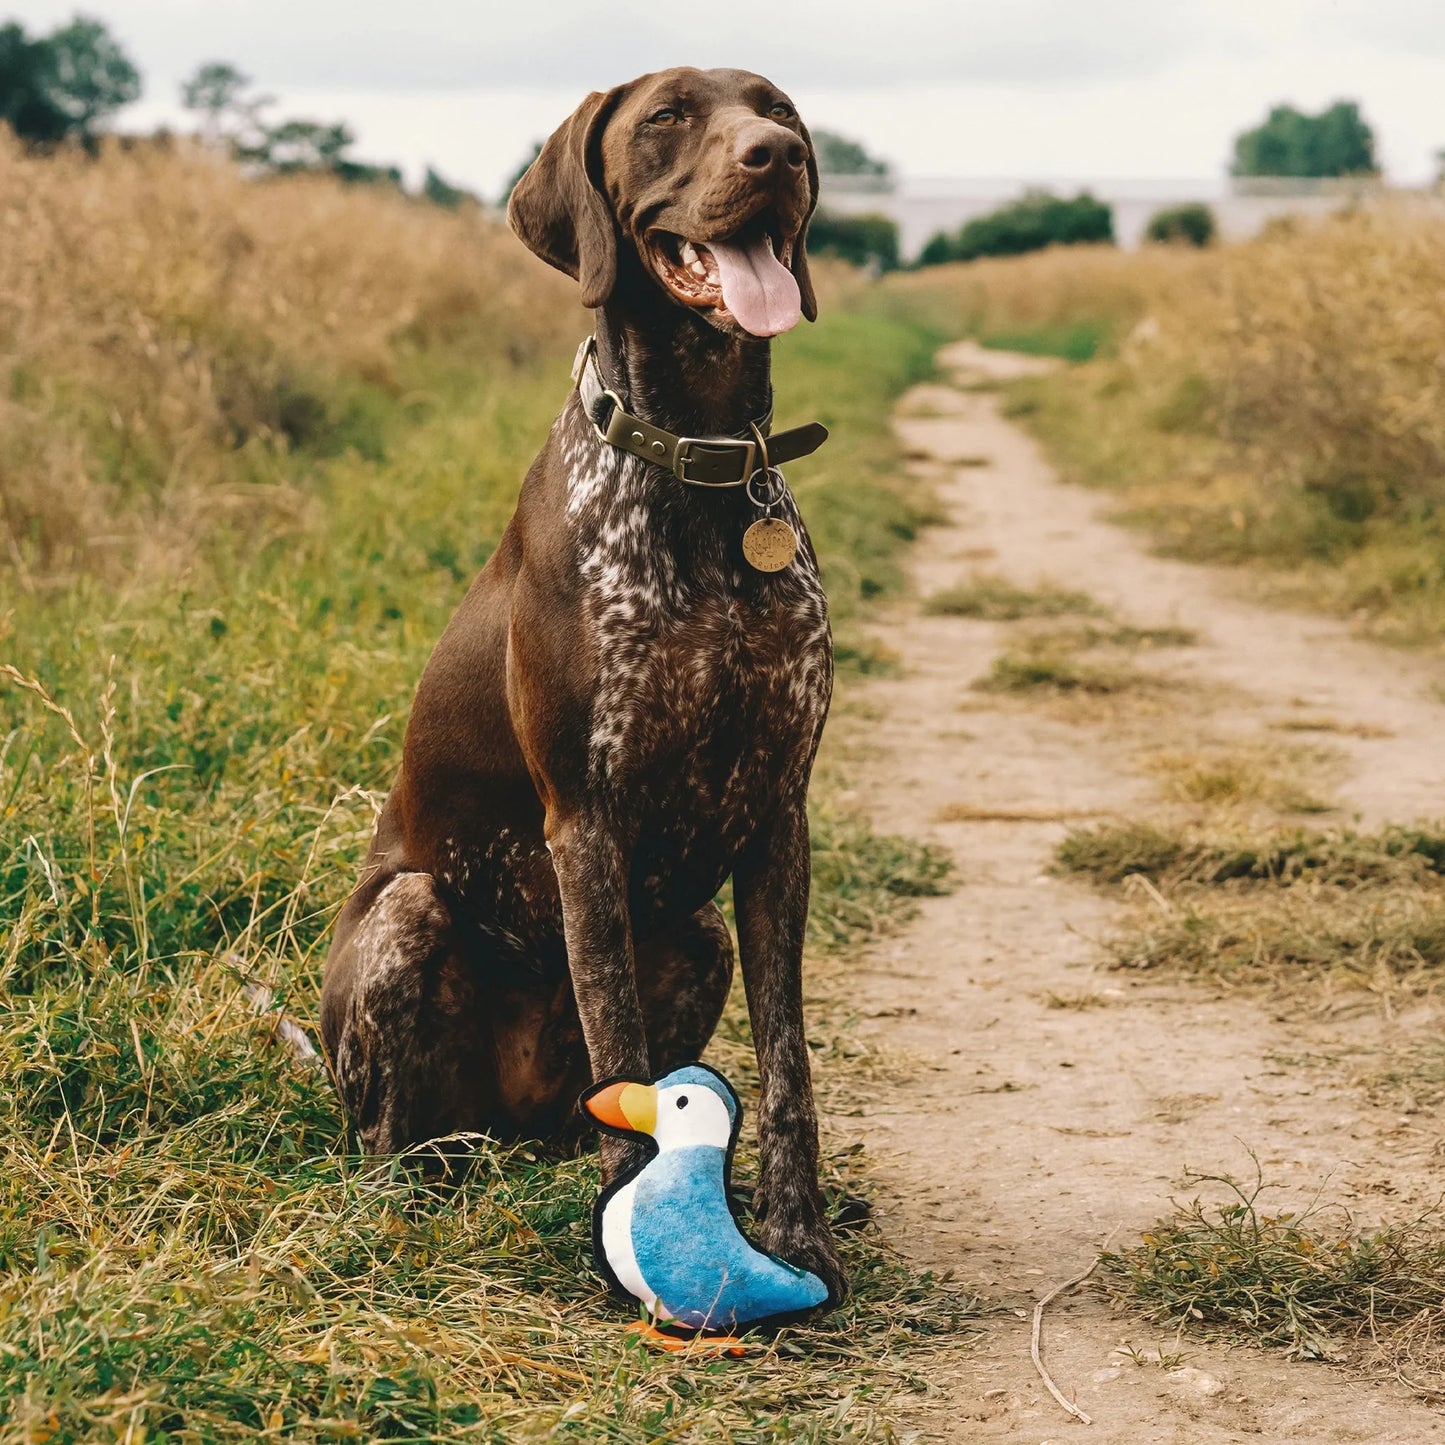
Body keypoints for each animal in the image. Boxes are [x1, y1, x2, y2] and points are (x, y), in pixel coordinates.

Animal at [310, 65, 843, 1300]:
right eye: (668, 117)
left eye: (778, 111)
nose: (775, 158)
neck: (702, 463)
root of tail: (499, 1125)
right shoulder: (584, 817)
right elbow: (617, 1042)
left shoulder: (777, 814)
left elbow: (786, 1056)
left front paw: (794, 1233)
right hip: (409, 920)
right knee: (395, 1137)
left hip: (694, 934)